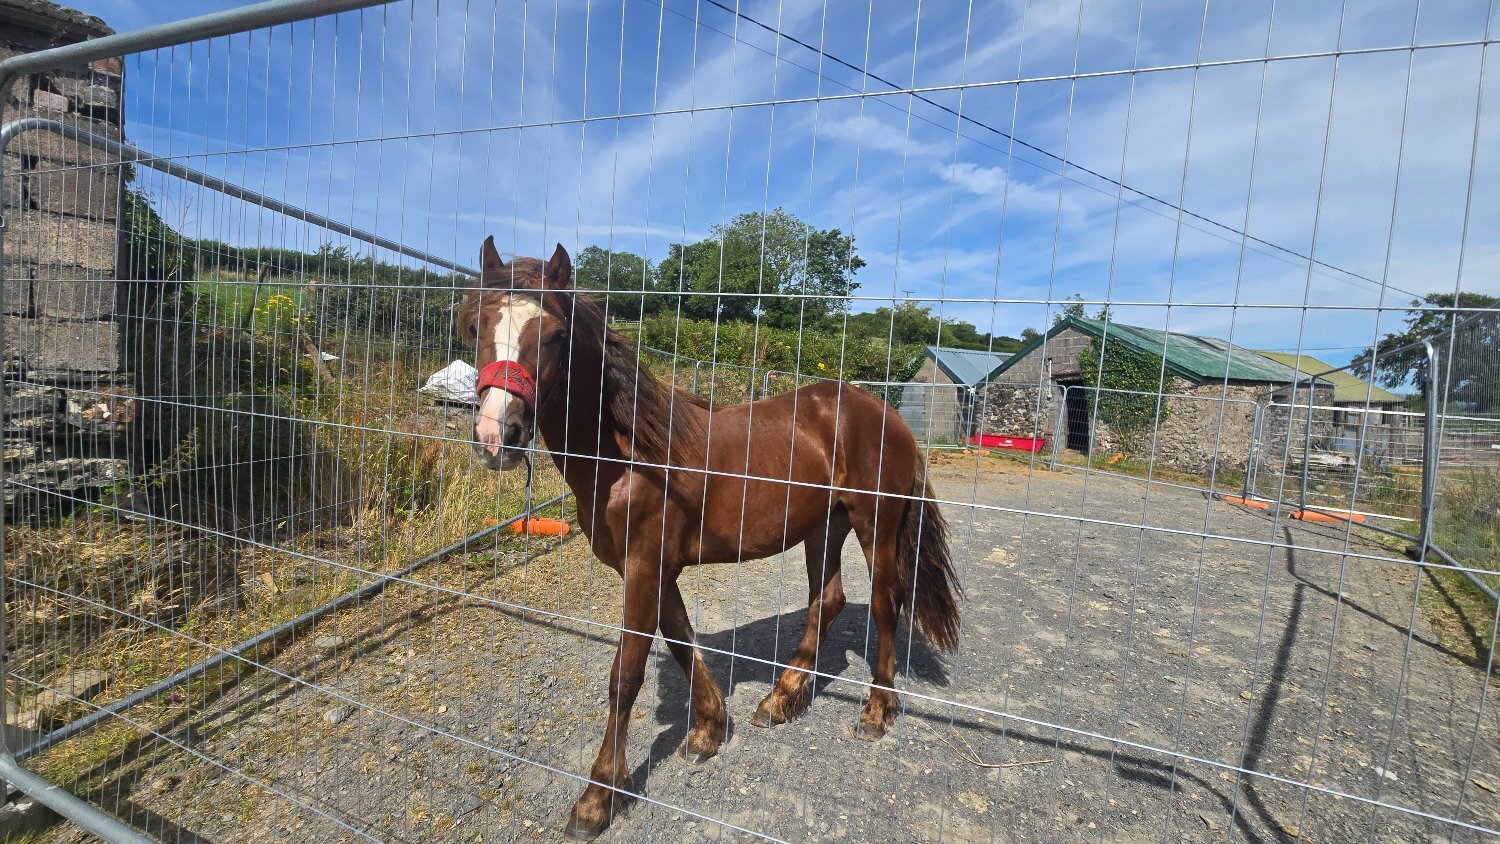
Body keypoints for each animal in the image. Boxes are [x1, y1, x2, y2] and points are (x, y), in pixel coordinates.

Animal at [458, 238, 962, 840]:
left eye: (555, 334)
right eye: (476, 325)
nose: (497, 436)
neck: (630, 455)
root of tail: (887, 414)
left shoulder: (646, 566)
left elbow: (626, 674)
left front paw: (598, 797)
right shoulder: (654, 569)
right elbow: (681, 640)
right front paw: (708, 730)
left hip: (874, 525)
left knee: (886, 607)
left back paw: (876, 712)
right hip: (824, 528)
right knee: (828, 601)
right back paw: (781, 699)